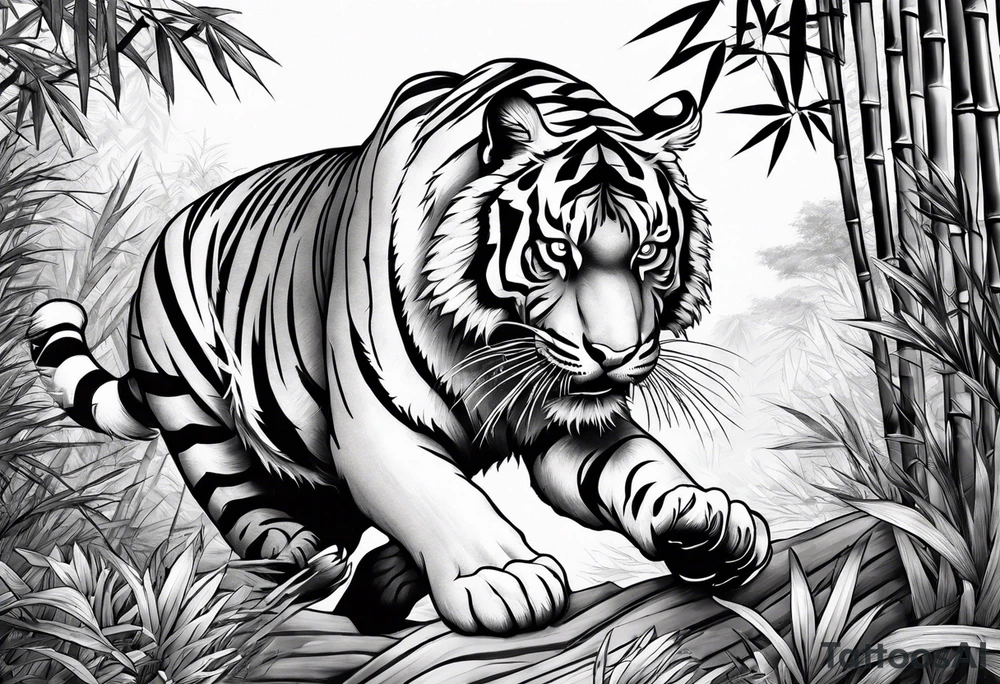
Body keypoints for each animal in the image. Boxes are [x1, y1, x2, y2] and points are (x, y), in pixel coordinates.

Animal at [28, 58, 771, 636]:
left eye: (649, 251)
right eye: (559, 251)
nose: (615, 355)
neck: (495, 341)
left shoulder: (572, 420)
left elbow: (638, 468)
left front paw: (709, 520)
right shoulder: (376, 430)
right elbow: (444, 501)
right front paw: (507, 576)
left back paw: (381, 577)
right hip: (194, 412)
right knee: (245, 516)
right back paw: (299, 557)